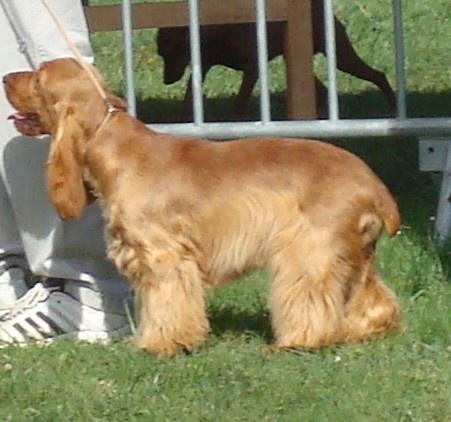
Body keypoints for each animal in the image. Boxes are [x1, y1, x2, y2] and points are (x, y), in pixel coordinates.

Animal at [4, 58, 400, 356]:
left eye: (37, 78)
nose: (6, 76)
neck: (113, 144)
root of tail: (375, 185)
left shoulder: (163, 254)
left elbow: (166, 303)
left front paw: (161, 344)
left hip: (308, 248)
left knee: (311, 301)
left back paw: (296, 342)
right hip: (354, 252)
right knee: (373, 299)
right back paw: (362, 330)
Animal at [157, 1, 396, 119]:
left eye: (168, 53)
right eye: (162, 55)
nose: (166, 81)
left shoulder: (252, 68)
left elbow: (240, 101)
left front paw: (237, 119)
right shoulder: (203, 67)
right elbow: (190, 93)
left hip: (342, 59)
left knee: (378, 75)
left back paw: (392, 104)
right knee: (324, 90)